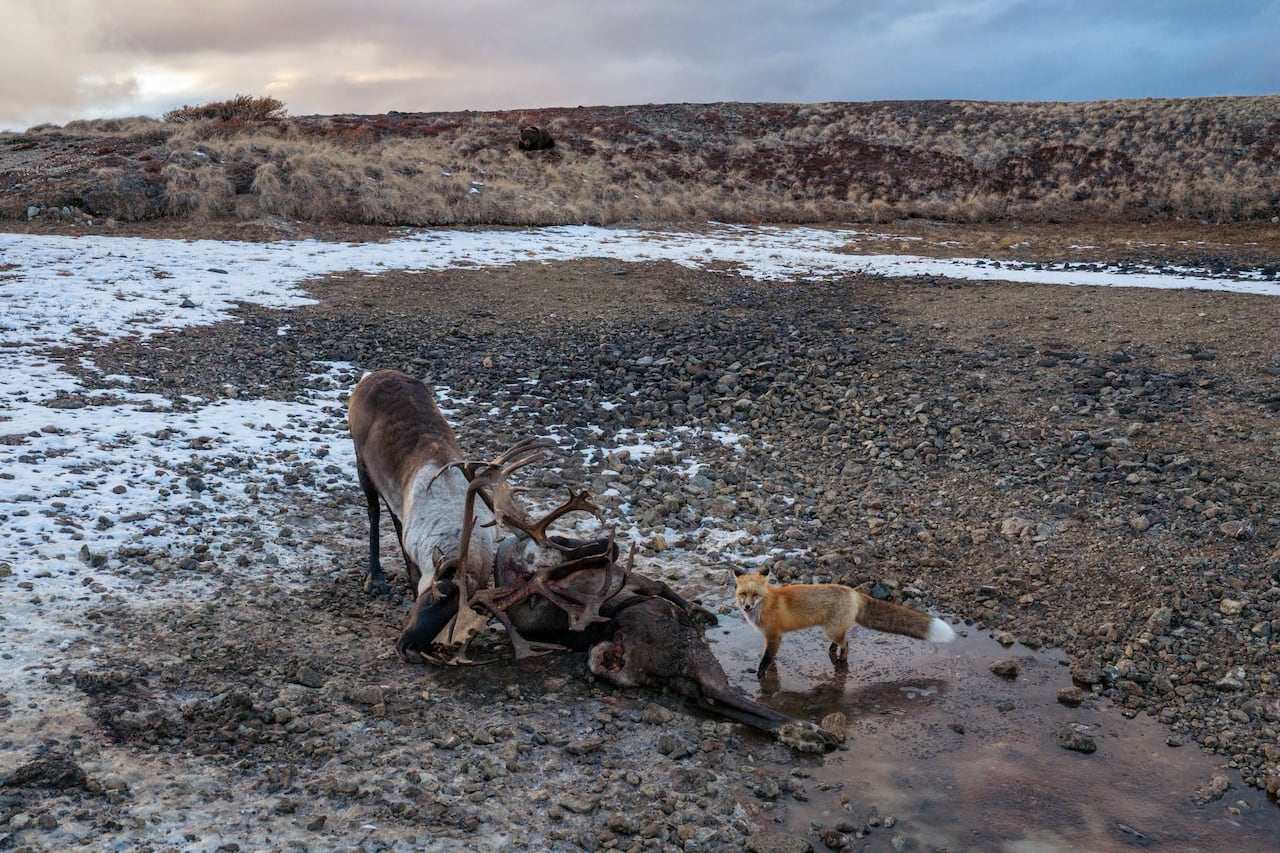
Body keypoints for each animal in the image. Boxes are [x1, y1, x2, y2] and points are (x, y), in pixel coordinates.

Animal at [732, 571, 956, 678]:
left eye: (755, 595)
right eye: (743, 594)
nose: (747, 606)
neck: (767, 604)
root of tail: (854, 592)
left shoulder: (774, 635)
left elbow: (765, 658)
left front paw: (761, 674)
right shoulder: (770, 637)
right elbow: (770, 656)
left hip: (830, 630)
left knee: (847, 644)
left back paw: (842, 660)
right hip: (833, 629)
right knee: (842, 640)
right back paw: (834, 651)